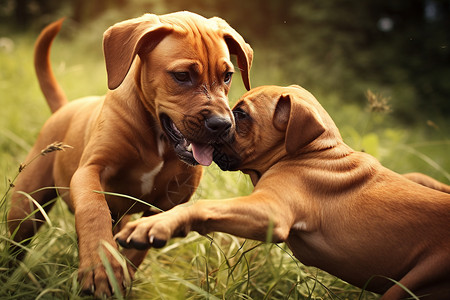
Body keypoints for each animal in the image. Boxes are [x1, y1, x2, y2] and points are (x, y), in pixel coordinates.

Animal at [7, 12, 253, 298]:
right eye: (182, 76)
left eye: (227, 76)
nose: (223, 125)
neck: (158, 139)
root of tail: (64, 108)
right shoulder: (91, 170)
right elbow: (93, 210)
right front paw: (101, 267)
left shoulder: (171, 201)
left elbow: (138, 248)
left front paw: (120, 274)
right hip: (25, 209)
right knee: (16, 245)